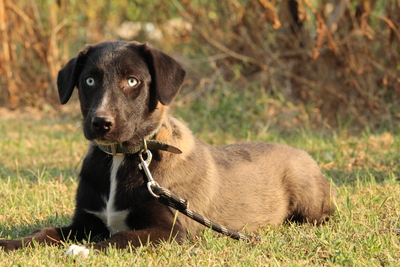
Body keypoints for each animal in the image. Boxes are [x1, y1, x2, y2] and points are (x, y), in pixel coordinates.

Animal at [0, 40, 338, 256]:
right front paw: (12, 245)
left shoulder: (172, 231)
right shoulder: (85, 222)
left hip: (307, 193)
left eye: (133, 81)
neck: (125, 158)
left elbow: (120, 237)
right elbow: (46, 232)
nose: (101, 123)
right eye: (90, 80)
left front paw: (81, 251)